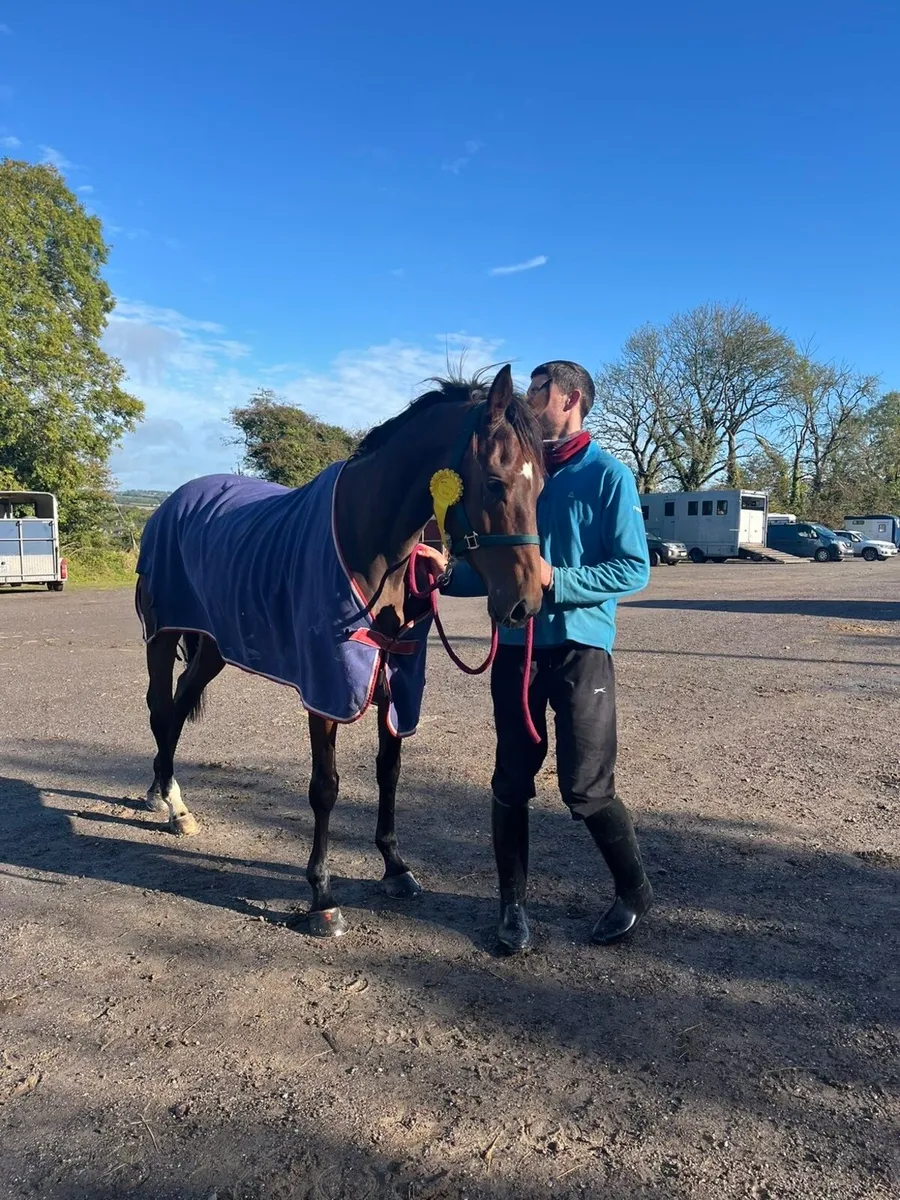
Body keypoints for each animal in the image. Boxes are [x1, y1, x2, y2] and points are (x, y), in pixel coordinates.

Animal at [134, 364, 544, 937]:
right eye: (494, 482)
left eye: (542, 485)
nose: (526, 603)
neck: (367, 540)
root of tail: (171, 504)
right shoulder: (326, 686)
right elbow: (325, 786)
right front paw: (321, 895)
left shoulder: (397, 674)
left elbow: (389, 770)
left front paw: (395, 867)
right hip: (162, 634)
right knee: (159, 709)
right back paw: (171, 803)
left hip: (213, 647)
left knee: (175, 710)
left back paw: (169, 801)